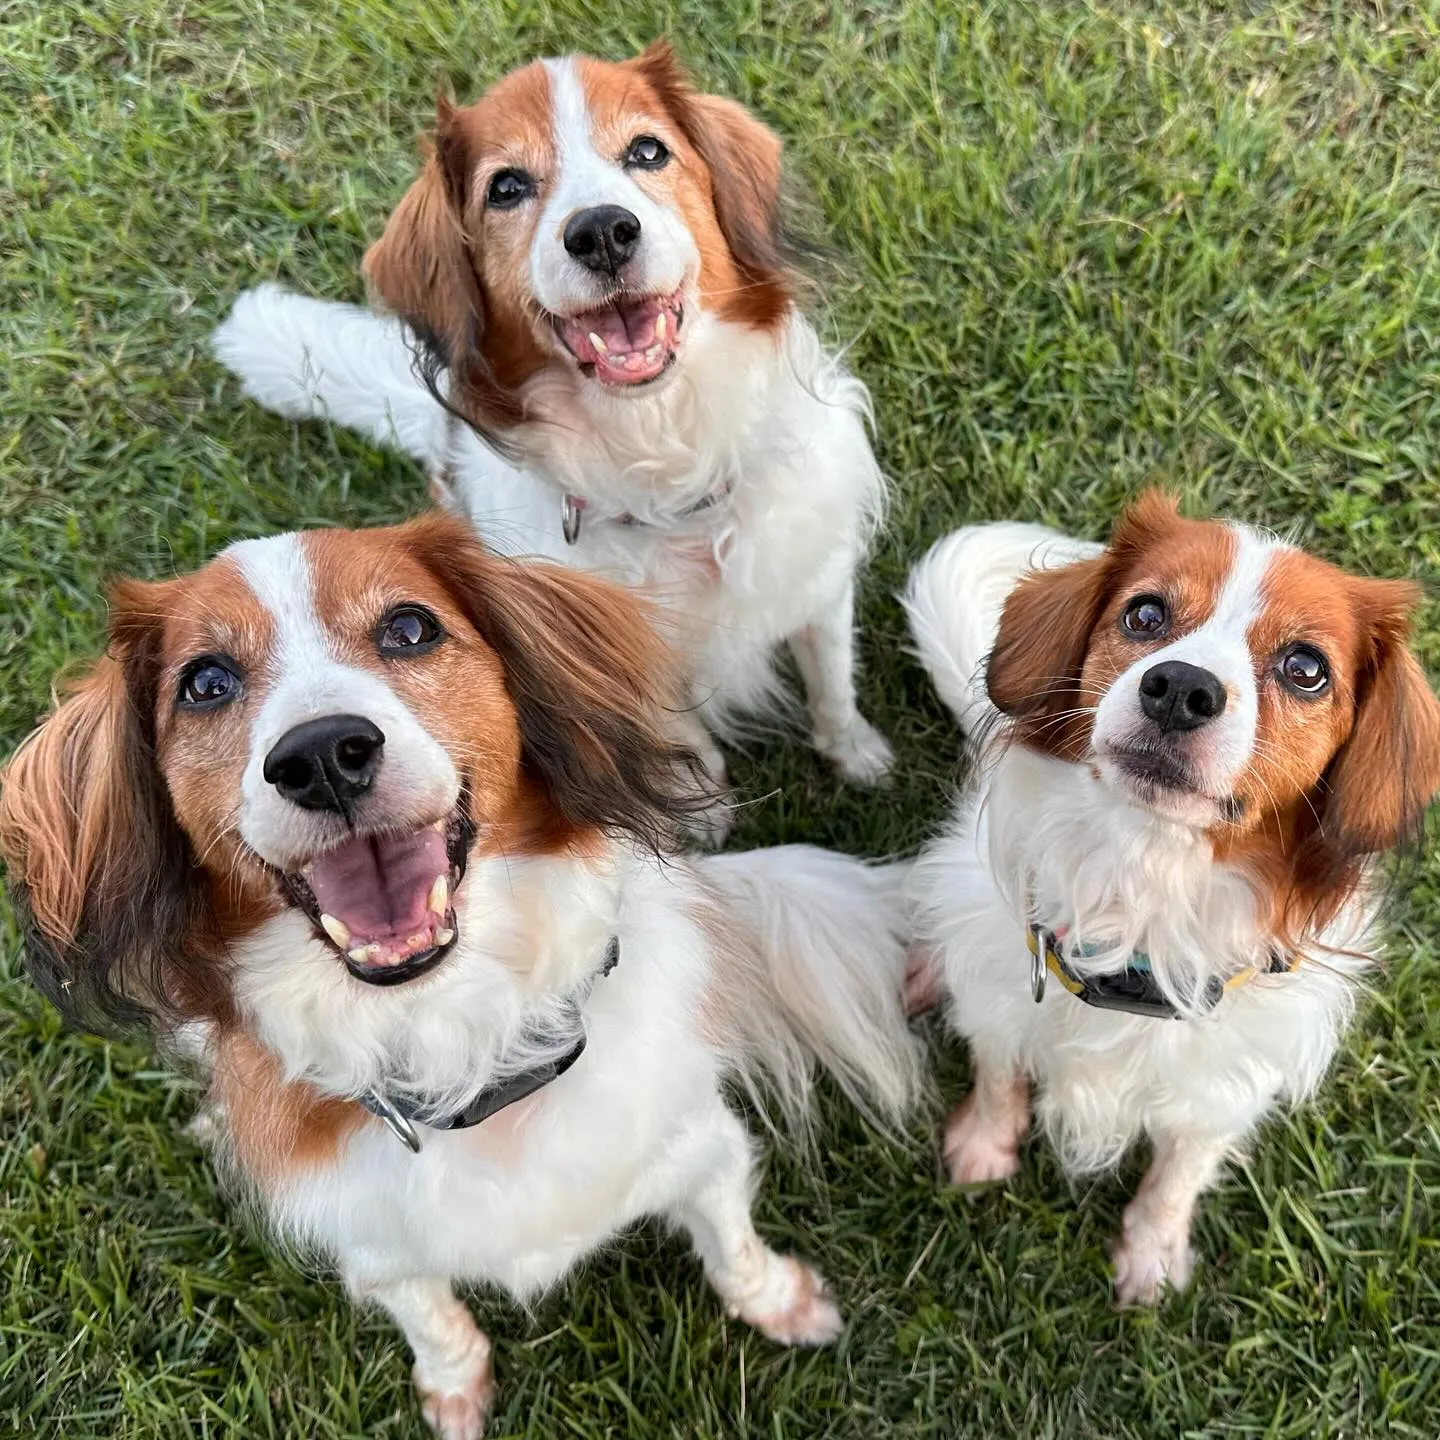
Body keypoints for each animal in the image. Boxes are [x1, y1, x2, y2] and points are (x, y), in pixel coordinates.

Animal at [0, 518, 921, 1440]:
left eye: (409, 629)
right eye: (206, 683)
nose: (322, 756)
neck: (463, 1038)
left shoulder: (703, 1145)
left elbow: (732, 1244)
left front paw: (780, 1301)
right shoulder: (374, 1242)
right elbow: (431, 1316)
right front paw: (454, 1388)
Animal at [211, 42, 887, 812]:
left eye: (648, 151)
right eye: (506, 188)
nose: (601, 231)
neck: (664, 468)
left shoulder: (818, 578)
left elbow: (833, 679)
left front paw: (857, 754)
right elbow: (687, 741)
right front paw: (703, 809)